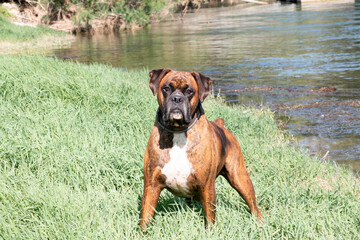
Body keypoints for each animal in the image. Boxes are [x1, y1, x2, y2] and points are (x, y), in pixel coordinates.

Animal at [140, 68, 262, 230]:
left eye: (189, 91)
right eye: (166, 89)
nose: (177, 99)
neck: (178, 131)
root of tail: (221, 125)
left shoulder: (207, 186)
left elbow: (210, 217)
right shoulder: (151, 186)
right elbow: (145, 217)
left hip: (240, 179)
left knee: (253, 205)